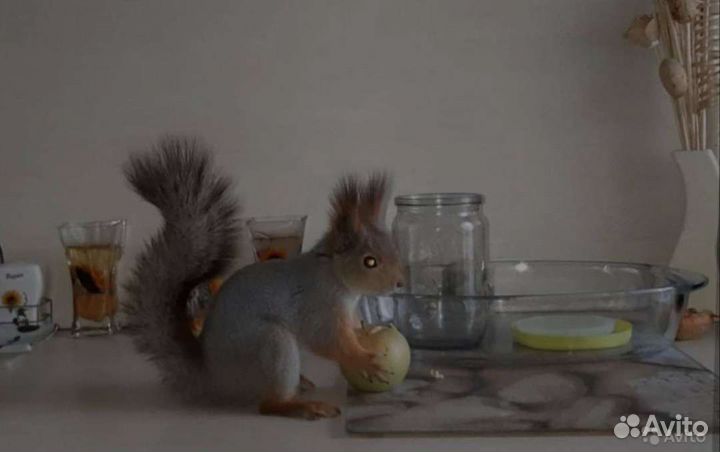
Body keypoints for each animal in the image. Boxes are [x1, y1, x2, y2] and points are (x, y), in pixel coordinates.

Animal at [123, 136, 404, 420]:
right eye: (369, 261)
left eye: (394, 247)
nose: (400, 283)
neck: (335, 277)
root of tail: (212, 380)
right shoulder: (317, 305)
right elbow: (326, 340)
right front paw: (364, 360)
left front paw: (364, 331)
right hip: (270, 344)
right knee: (267, 405)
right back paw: (303, 406)